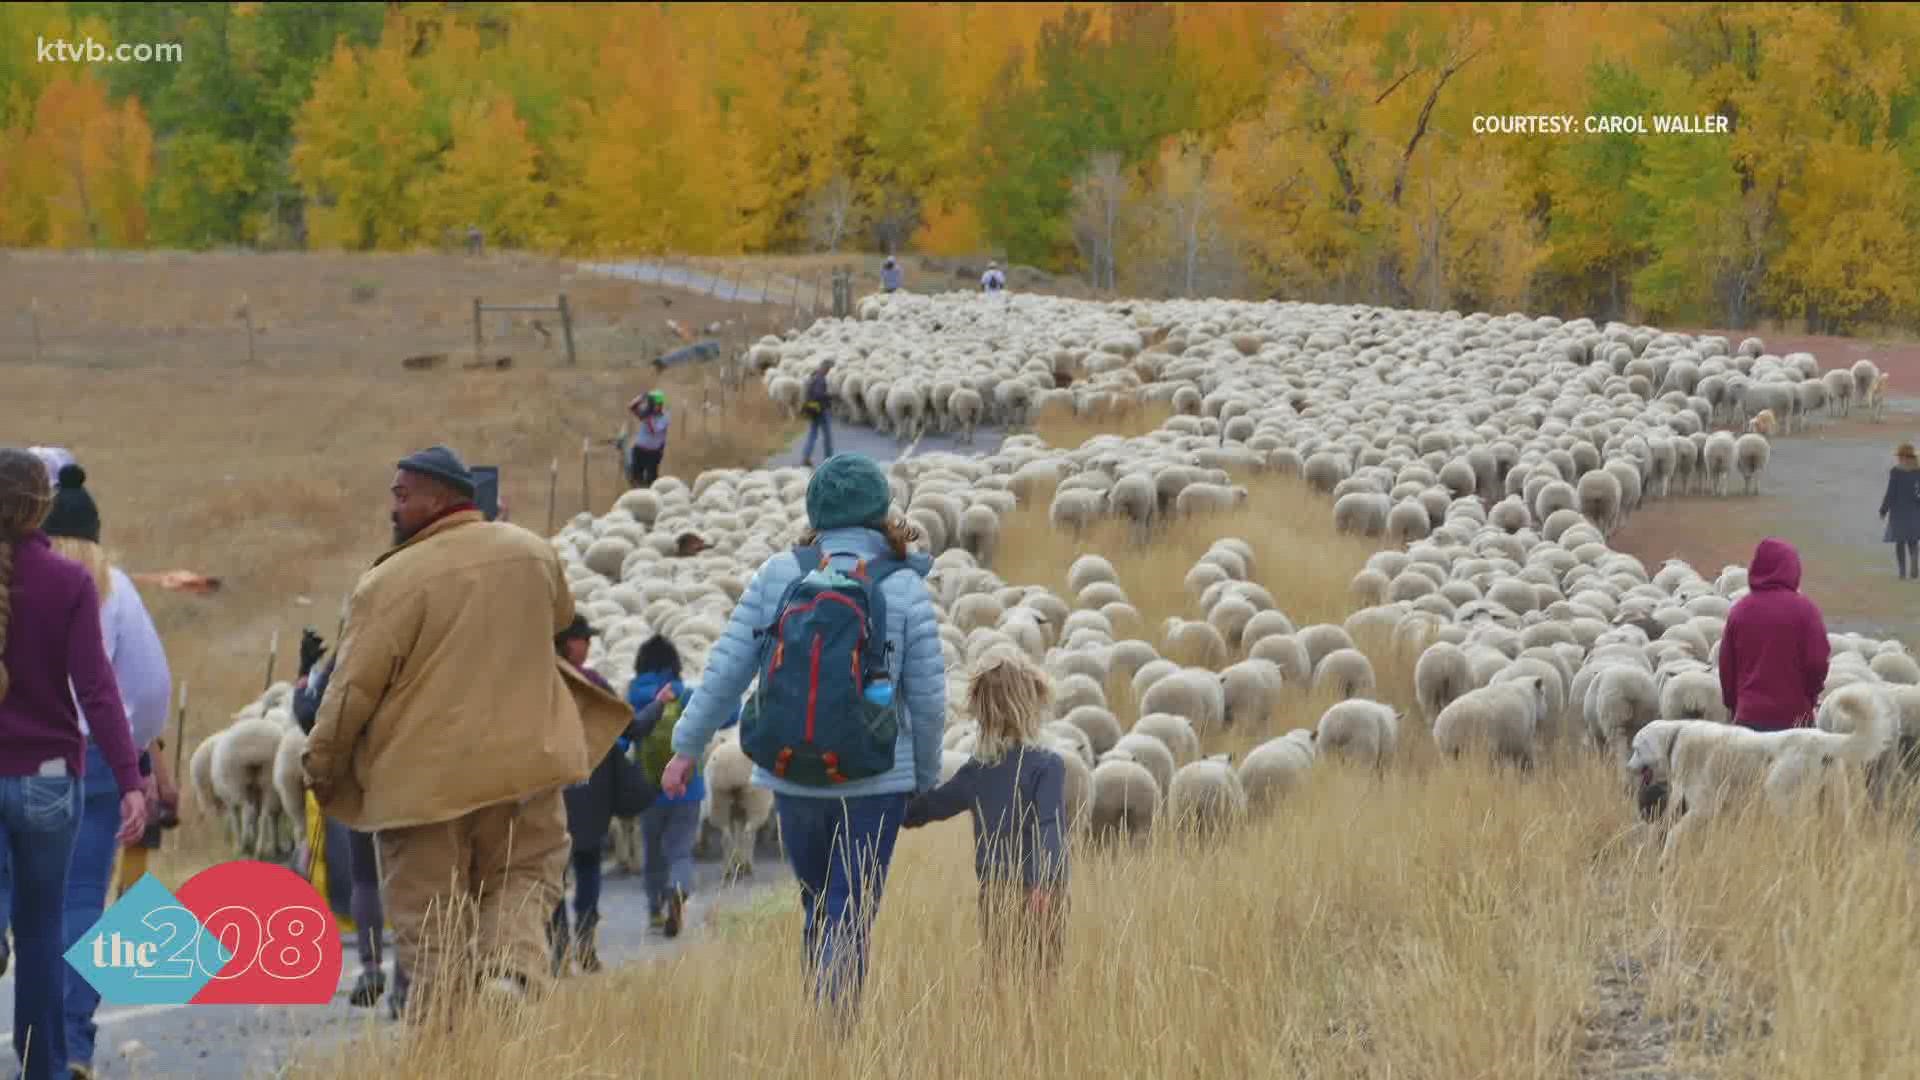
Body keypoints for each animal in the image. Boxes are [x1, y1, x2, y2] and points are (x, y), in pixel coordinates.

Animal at [1628, 680, 1896, 864]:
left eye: (1636, 749)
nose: (1628, 767)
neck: (1676, 738)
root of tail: (1823, 739)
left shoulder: (1704, 807)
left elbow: (1674, 834)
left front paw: (1664, 860)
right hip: (1834, 803)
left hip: (1781, 795)